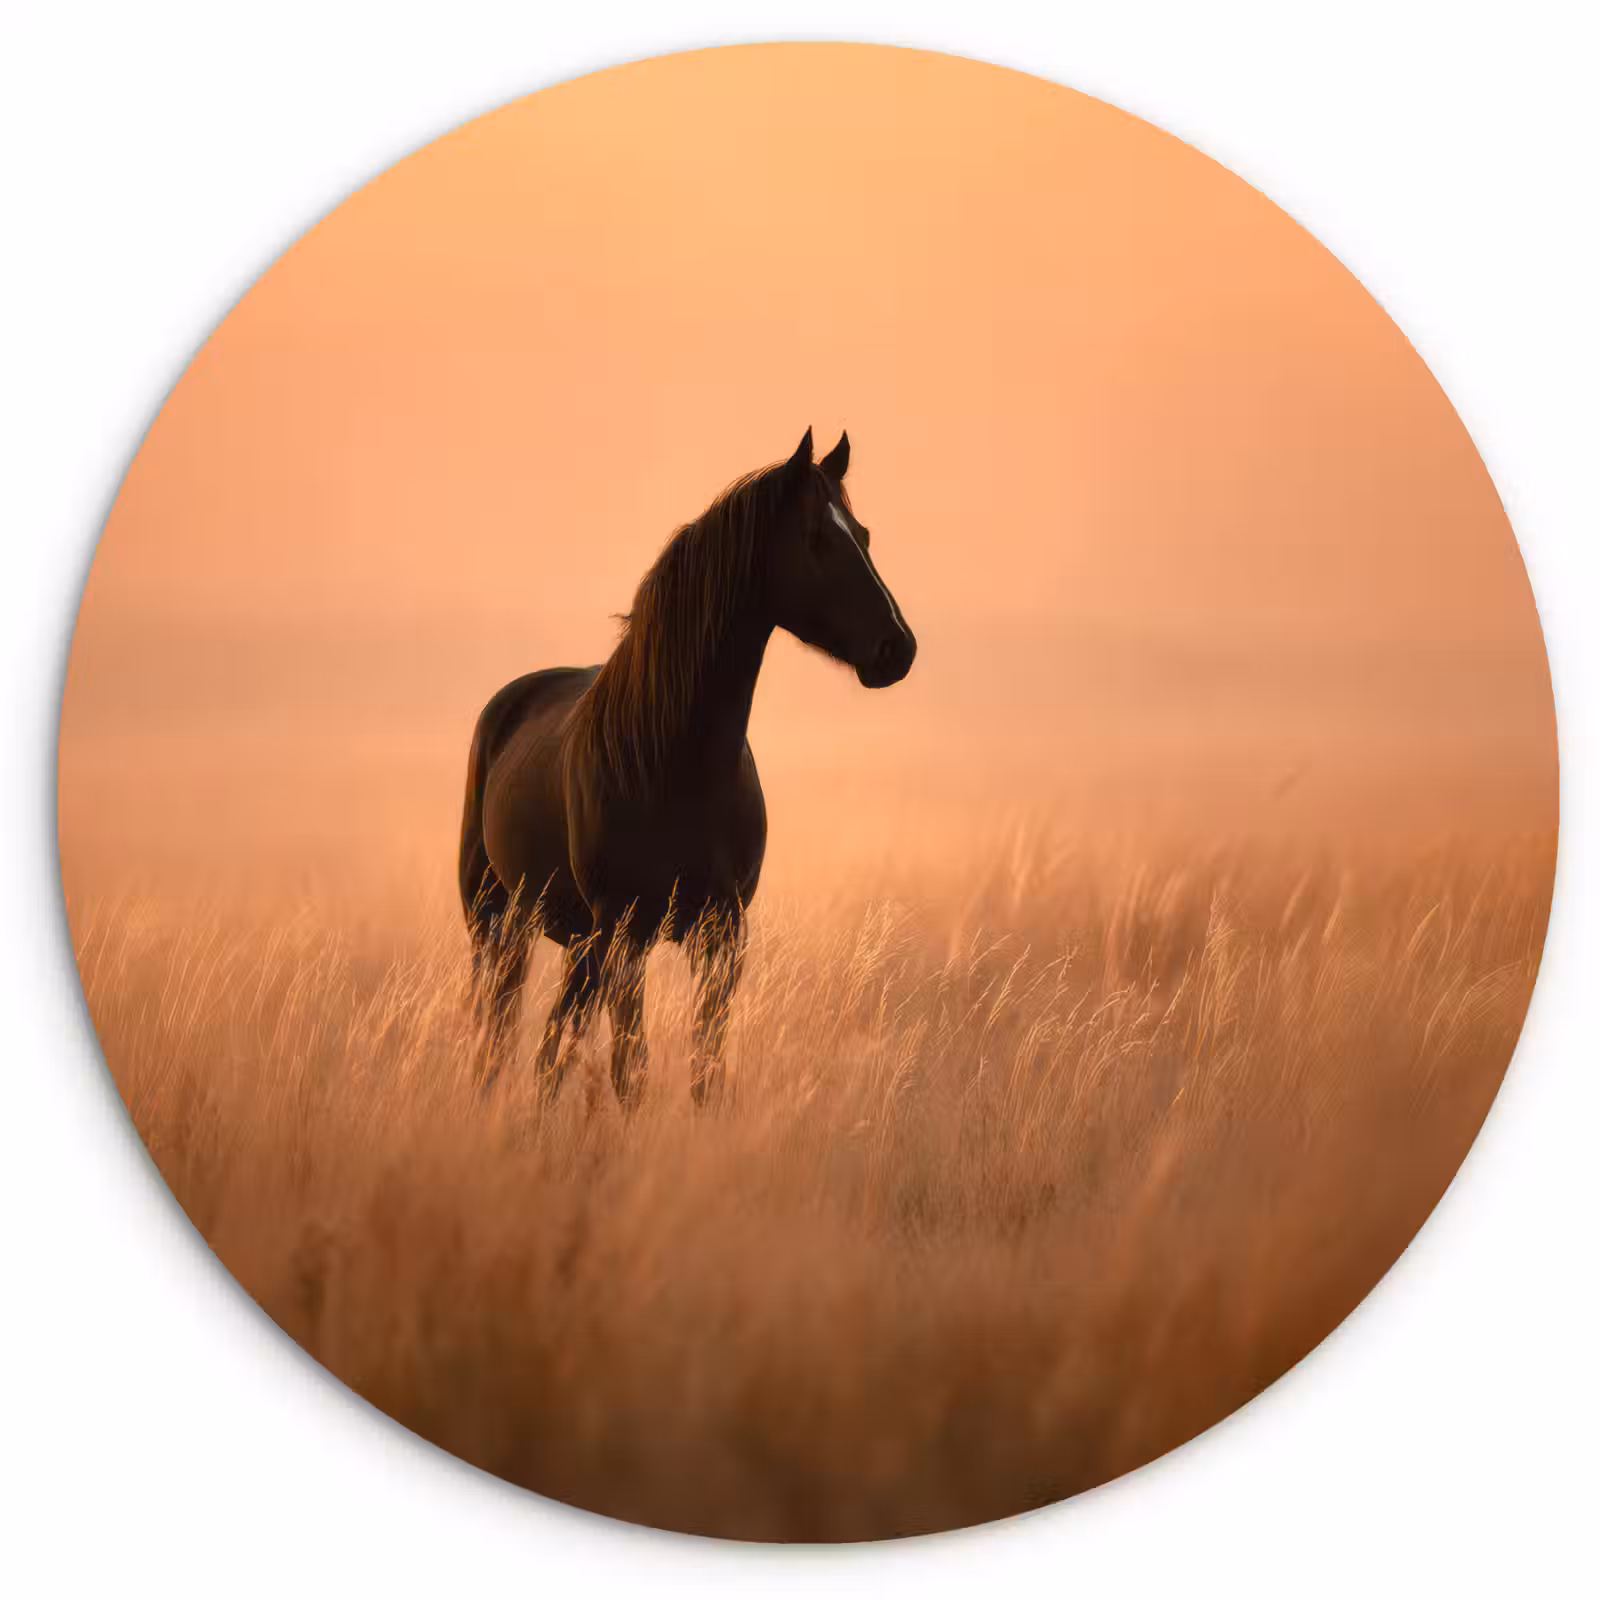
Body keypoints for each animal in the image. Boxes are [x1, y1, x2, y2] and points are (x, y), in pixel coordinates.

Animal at [458, 427, 917, 1110]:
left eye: (861, 532)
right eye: (816, 537)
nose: (897, 648)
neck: (672, 762)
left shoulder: (721, 934)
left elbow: (705, 1070)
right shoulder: (625, 933)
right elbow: (631, 1072)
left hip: (569, 939)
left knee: (548, 1050)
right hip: (500, 922)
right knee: (504, 1039)